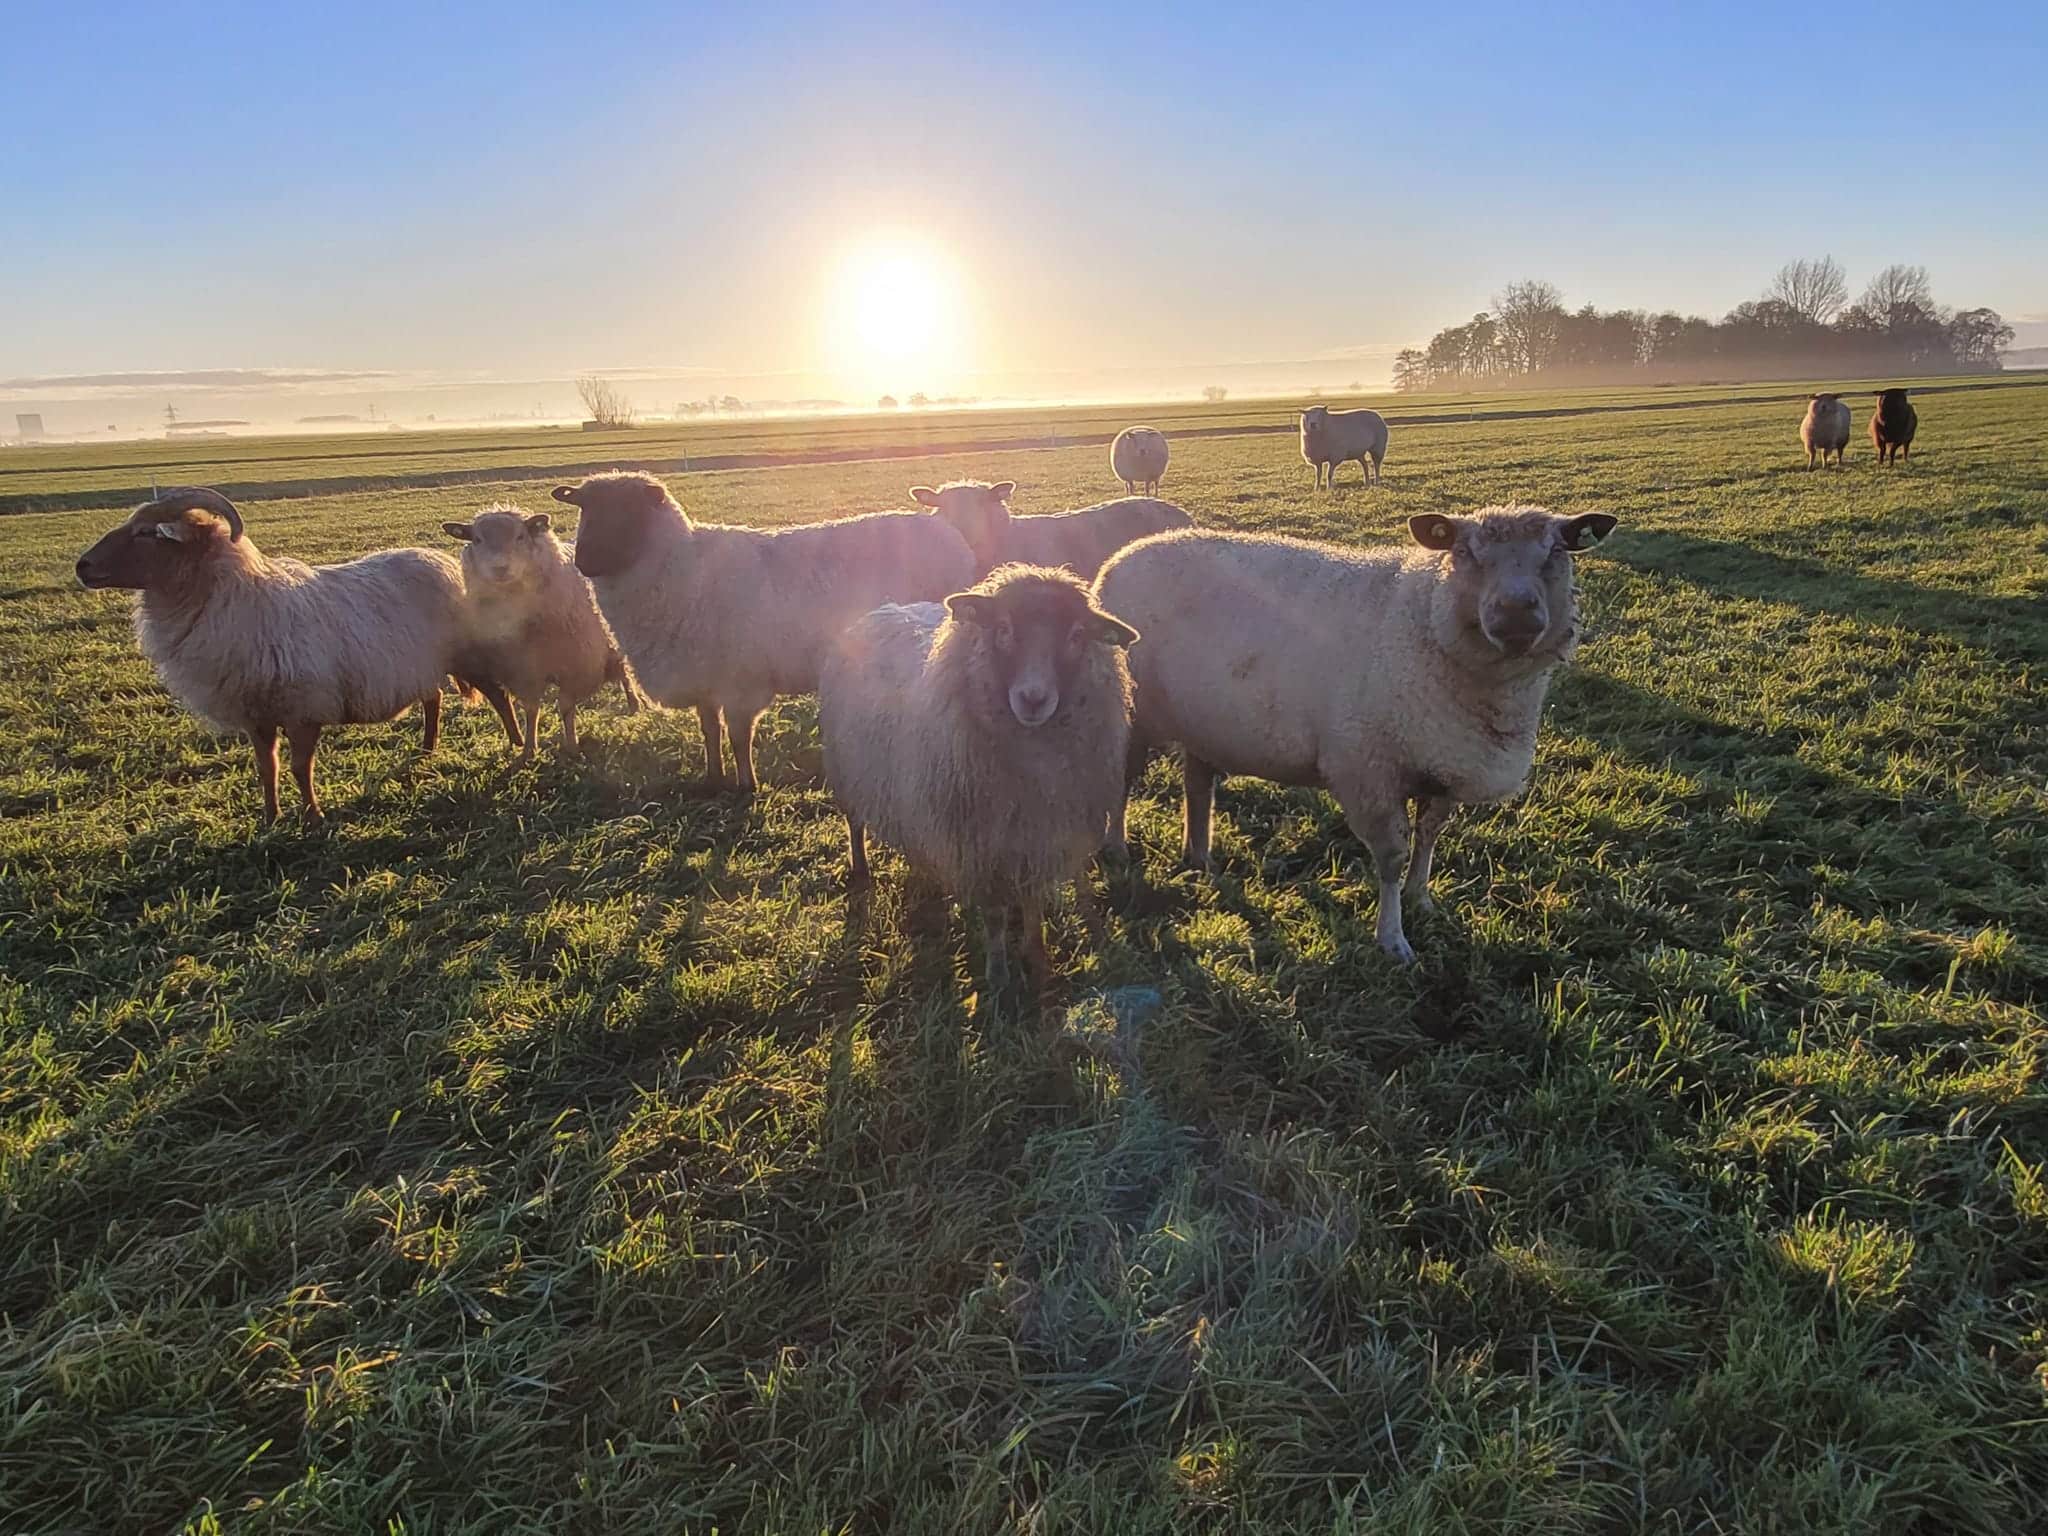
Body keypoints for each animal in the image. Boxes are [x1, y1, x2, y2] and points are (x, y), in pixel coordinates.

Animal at [77, 493, 528, 831]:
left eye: (146, 533)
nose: (82, 566)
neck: (237, 598)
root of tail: (440, 557)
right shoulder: (256, 714)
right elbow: (267, 768)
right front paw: (271, 818)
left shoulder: (304, 707)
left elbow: (298, 767)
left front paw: (312, 817)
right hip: (419, 663)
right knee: (432, 699)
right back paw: (427, 749)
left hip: (466, 654)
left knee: (497, 696)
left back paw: (517, 742)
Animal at [444, 505, 643, 765]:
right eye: (477, 540)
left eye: (520, 536)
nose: (500, 568)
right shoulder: (523, 672)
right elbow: (532, 710)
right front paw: (529, 749)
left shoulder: (575, 667)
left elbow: (566, 707)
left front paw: (572, 747)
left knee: (625, 672)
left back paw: (634, 704)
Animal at [552, 473, 974, 794]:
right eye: (583, 508)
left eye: (627, 512)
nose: (582, 561)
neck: (683, 568)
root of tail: (947, 531)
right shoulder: (702, 676)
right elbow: (710, 731)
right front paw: (713, 778)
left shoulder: (741, 681)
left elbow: (740, 737)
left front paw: (746, 785)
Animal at [815, 565, 1138, 999]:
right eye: (1003, 629)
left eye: (1076, 636)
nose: (1033, 700)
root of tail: (883, 609)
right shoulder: (980, 845)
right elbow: (997, 915)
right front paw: (998, 975)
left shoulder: (1038, 838)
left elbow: (1032, 903)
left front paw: (1036, 954)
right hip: (848, 771)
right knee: (854, 824)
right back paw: (861, 870)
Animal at [1097, 505, 1622, 962]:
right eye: (1465, 552)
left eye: (1557, 551)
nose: (1516, 616)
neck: (1424, 617)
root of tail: (1125, 555)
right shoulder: (1369, 770)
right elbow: (1391, 856)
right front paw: (1392, 939)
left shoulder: (1444, 764)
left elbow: (1429, 838)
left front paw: (1420, 899)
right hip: (1131, 712)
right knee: (1119, 783)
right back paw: (1118, 851)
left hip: (1204, 721)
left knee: (1197, 783)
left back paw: (1199, 856)